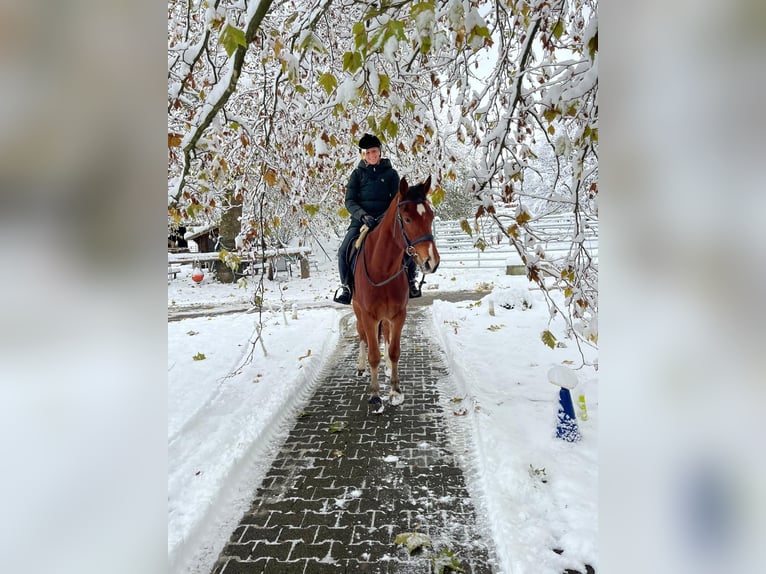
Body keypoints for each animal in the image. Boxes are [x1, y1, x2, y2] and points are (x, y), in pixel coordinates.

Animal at [352, 176, 440, 414]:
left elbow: (394, 350)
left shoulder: (399, 314)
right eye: (407, 219)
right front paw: (375, 395)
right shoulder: (369, 316)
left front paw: (395, 391)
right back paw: (361, 366)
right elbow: (373, 354)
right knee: (362, 336)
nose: (431, 261)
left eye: (430, 216)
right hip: (357, 311)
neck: (383, 268)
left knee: (386, 335)